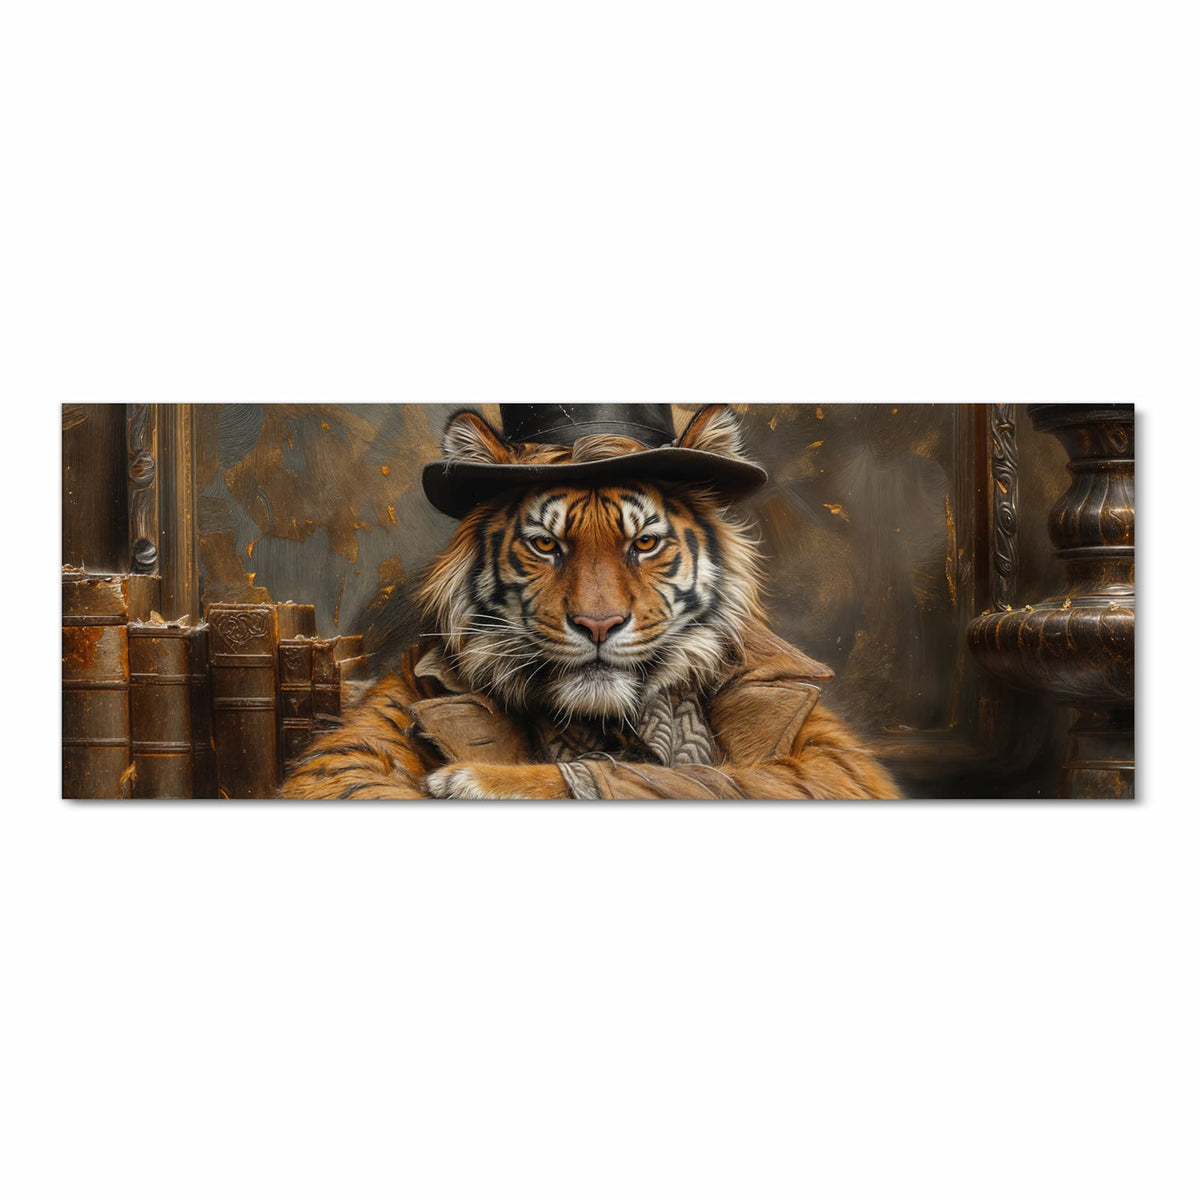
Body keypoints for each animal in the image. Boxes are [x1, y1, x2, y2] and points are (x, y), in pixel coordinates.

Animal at [278, 404, 899, 799]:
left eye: (644, 543)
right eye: (545, 544)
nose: (598, 626)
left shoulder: (835, 762)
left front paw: (470, 779)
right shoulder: (345, 756)